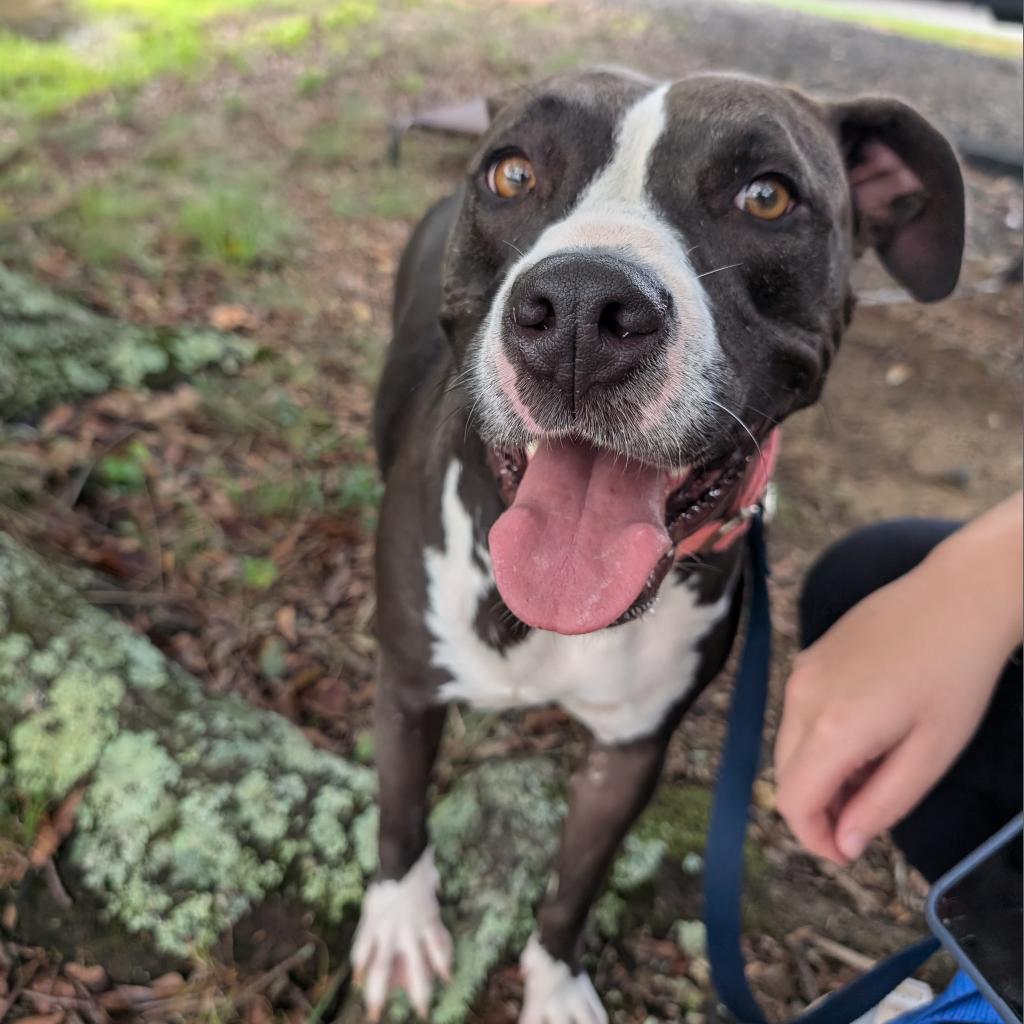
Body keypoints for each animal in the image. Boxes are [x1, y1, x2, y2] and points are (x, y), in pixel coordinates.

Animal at [348, 68, 962, 1019]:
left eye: (767, 196)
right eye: (513, 174)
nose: (577, 311)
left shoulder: (631, 753)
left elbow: (576, 882)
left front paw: (556, 984)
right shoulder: (408, 688)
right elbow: (400, 814)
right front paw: (402, 924)